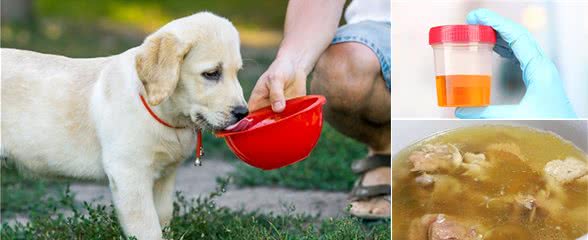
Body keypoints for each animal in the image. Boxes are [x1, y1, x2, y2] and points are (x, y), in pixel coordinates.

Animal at [0, 12, 248, 239]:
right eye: (212, 74)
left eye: (237, 73)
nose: (243, 113)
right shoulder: (129, 173)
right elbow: (148, 228)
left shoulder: (165, 176)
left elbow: (163, 217)